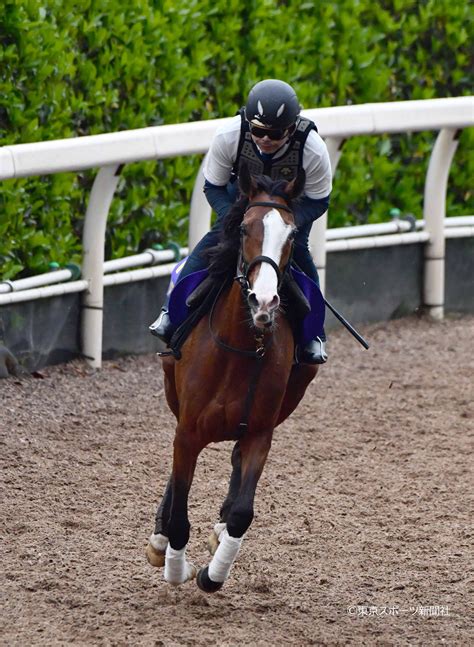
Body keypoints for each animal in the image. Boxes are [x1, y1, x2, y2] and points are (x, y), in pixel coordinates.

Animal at [145, 166, 318, 592]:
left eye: (291, 234)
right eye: (243, 228)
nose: (264, 301)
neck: (241, 348)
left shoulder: (259, 432)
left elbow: (243, 512)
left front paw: (213, 573)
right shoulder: (188, 432)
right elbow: (179, 512)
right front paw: (175, 565)